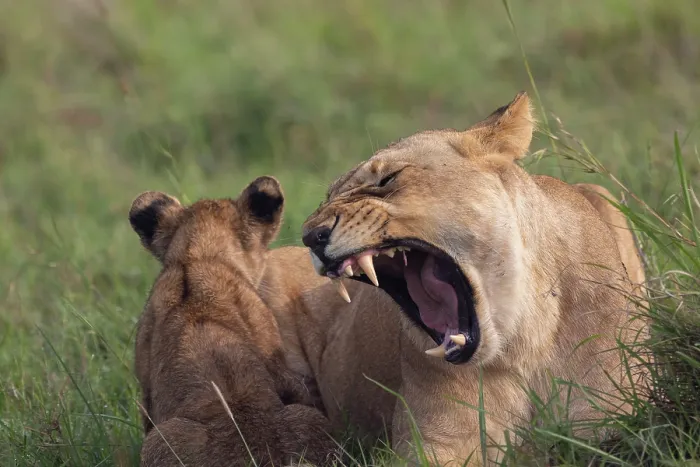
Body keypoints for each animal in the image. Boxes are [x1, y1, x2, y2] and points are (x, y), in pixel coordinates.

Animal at [257, 92, 648, 465]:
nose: (311, 236)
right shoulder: (433, 444)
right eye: (326, 199)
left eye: (386, 179)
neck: (524, 342)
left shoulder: (611, 424)